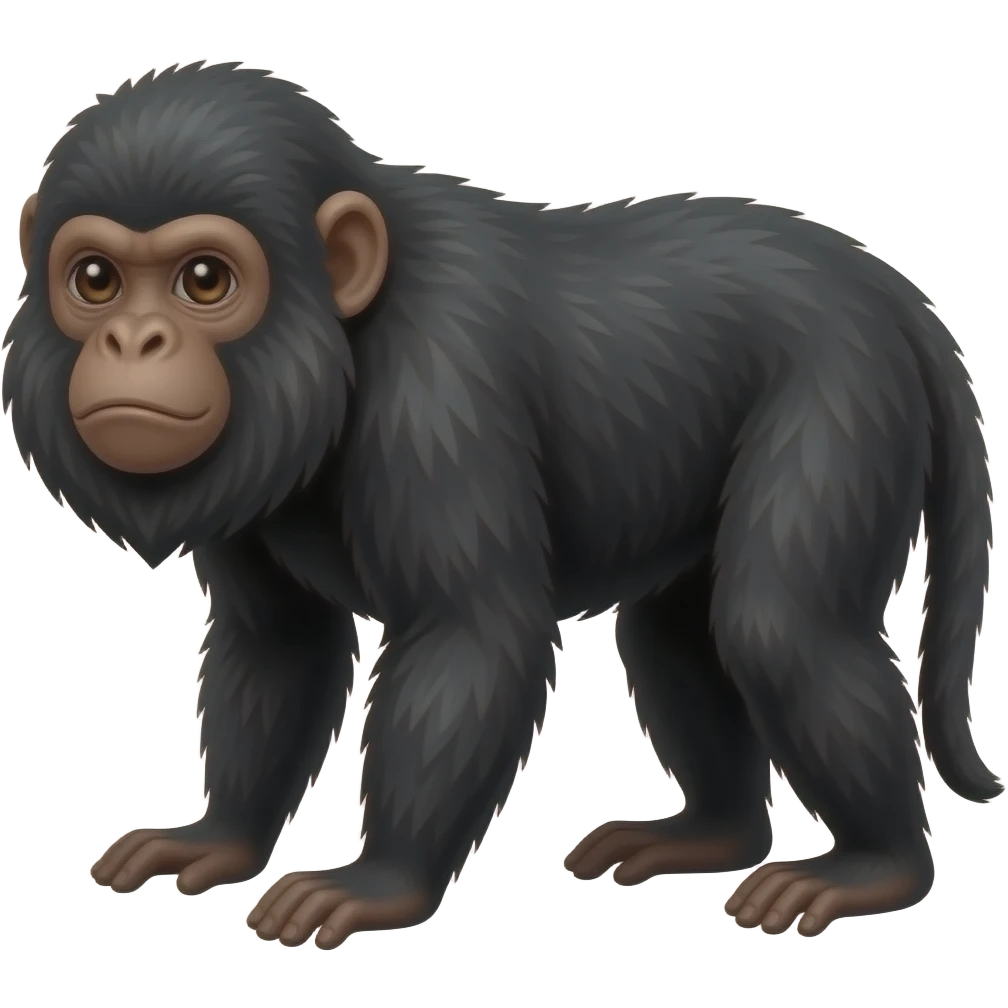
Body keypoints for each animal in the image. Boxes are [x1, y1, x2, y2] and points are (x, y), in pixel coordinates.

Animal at [2, 61, 999, 950]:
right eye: (96, 280)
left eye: (204, 279)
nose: (135, 338)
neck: (339, 338)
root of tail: (891, 292)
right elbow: (276, 641)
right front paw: (220, 838)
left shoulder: (435, 397)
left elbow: (469, 633)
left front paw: (381, 883)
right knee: (676, 631)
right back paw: (710, 833)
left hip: (847, 392)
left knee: (777, 625)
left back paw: (877, 865)